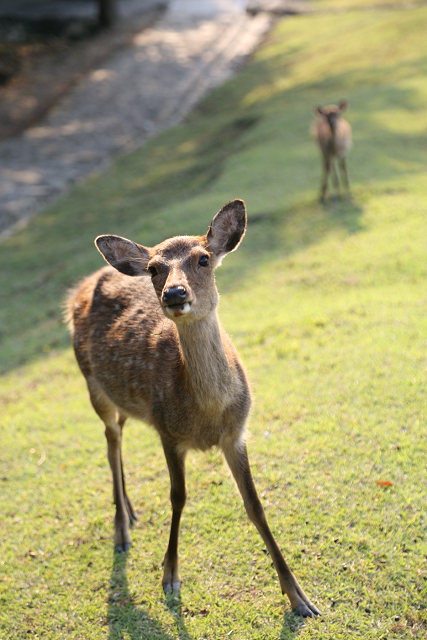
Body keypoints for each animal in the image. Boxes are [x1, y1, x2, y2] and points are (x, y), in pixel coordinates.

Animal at [66, 198, 320, 616]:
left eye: (203, 259)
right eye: (154, 269)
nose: (173, 293)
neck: (208, 416)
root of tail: (84, 283)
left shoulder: (237, 434)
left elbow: (255, 505)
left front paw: (300, 597)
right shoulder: (167, 431)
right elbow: (178, 497)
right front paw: (169, 575)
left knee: (119, 431)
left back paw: (130, 510)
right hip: (90, 382)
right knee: (110, 438)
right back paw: (121, 529)